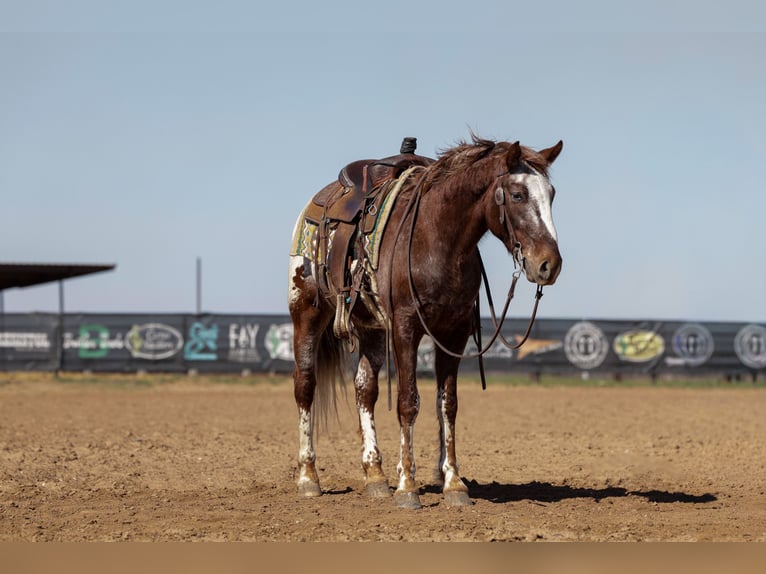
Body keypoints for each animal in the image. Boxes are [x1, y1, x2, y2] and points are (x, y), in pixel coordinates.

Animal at [288, 134, 563, 508]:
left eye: (551, 194)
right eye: (518, 194)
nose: (550, 264)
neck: (436, 238)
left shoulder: (454, 333)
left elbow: (448, 406)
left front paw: (454, 484)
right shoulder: (406, 328)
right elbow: (408, 402)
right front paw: (408, 487)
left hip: (372, 330)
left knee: (365, 390)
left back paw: (375, 476)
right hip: (306, 312)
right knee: (305, 385)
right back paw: (308, 477)